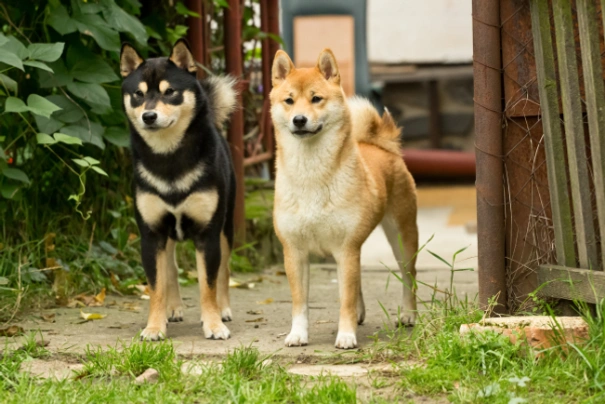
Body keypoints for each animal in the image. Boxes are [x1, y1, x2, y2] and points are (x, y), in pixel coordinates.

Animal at [119, 39, 236, 340]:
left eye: (169, 92)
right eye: (138, 94)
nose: (149, 116)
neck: (168, 158)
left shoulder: (208, 234)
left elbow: (208, 283)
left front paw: (213, 324)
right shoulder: (151, 234)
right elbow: (156, 286)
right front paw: (154, 326)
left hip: (226, 227)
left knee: (223, 271)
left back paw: (224, 309)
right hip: (168, 236)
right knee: (170, 269)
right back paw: (172, 309)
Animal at [270, 49, 418, 348]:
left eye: (316, 98)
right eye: (289, 100)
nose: (299, 119)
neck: (311, 177)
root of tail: (379, 145)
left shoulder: (346, 248)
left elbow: (345, 300)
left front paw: (346, 335)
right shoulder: (295, 252)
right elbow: (300, 303)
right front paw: (297, 334)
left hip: (403, 238)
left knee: (409, 277)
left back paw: (409, 314)